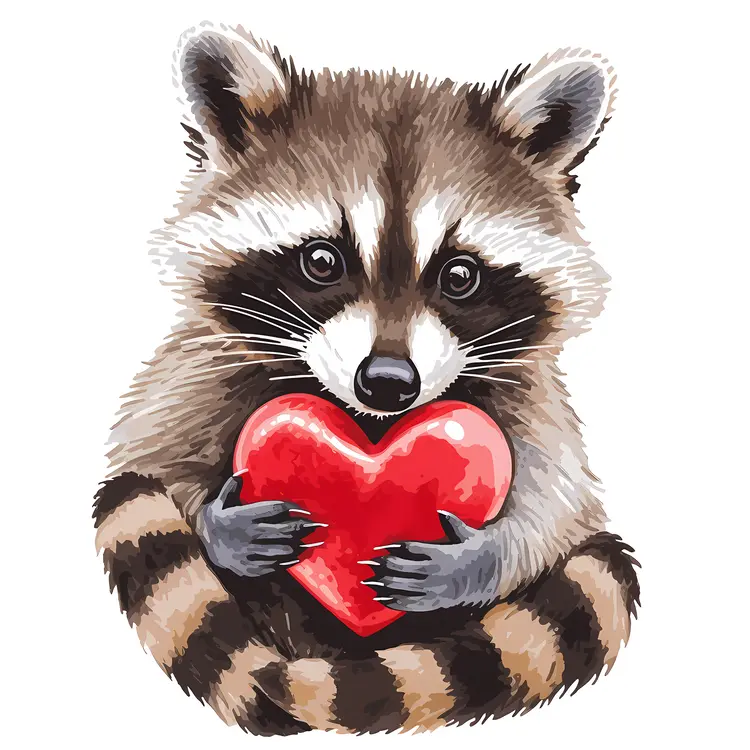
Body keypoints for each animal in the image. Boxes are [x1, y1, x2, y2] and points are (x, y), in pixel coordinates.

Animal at [94, 23, 640, 734]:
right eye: (322, 261)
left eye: (459, 275)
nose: (387, 381)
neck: (371, 422)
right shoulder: (199, 368)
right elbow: (151, 457)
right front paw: (218, 524)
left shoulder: (532, 399)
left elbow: (557, 501)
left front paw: (485, 558)